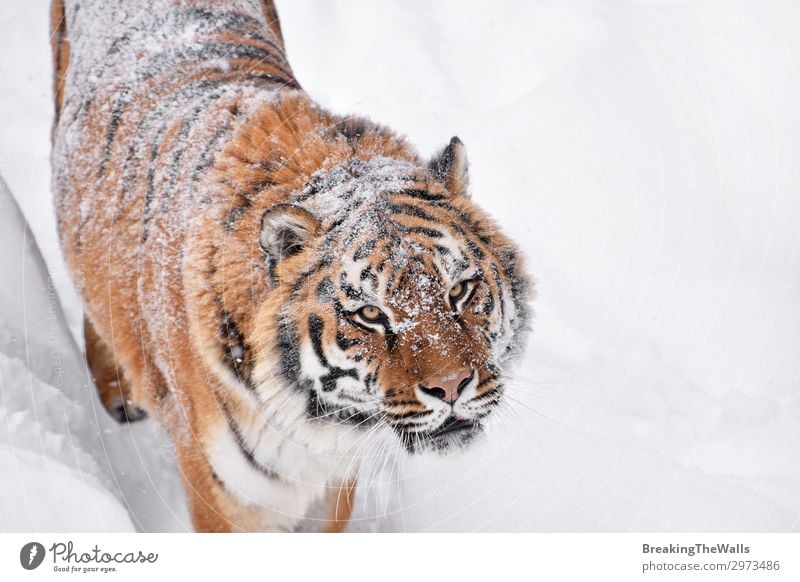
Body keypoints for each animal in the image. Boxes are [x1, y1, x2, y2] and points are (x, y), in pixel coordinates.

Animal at [53, 0, 536, 532]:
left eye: (459, 291)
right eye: (369, 314)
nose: (450, 388)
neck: (315, 426)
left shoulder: (333, 489)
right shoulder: (226, 499)